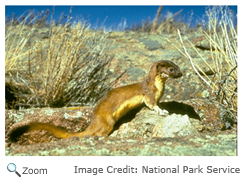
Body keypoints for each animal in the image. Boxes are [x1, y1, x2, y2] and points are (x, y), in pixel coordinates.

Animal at [8, 60, 182, 142]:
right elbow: (152, 105)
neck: (159, 88)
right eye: (171, 69)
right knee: (98, 133)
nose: (181, 74)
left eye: (178, 67)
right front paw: (163, 111)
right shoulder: (148, 94)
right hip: (108, 121)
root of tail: (93, 121)